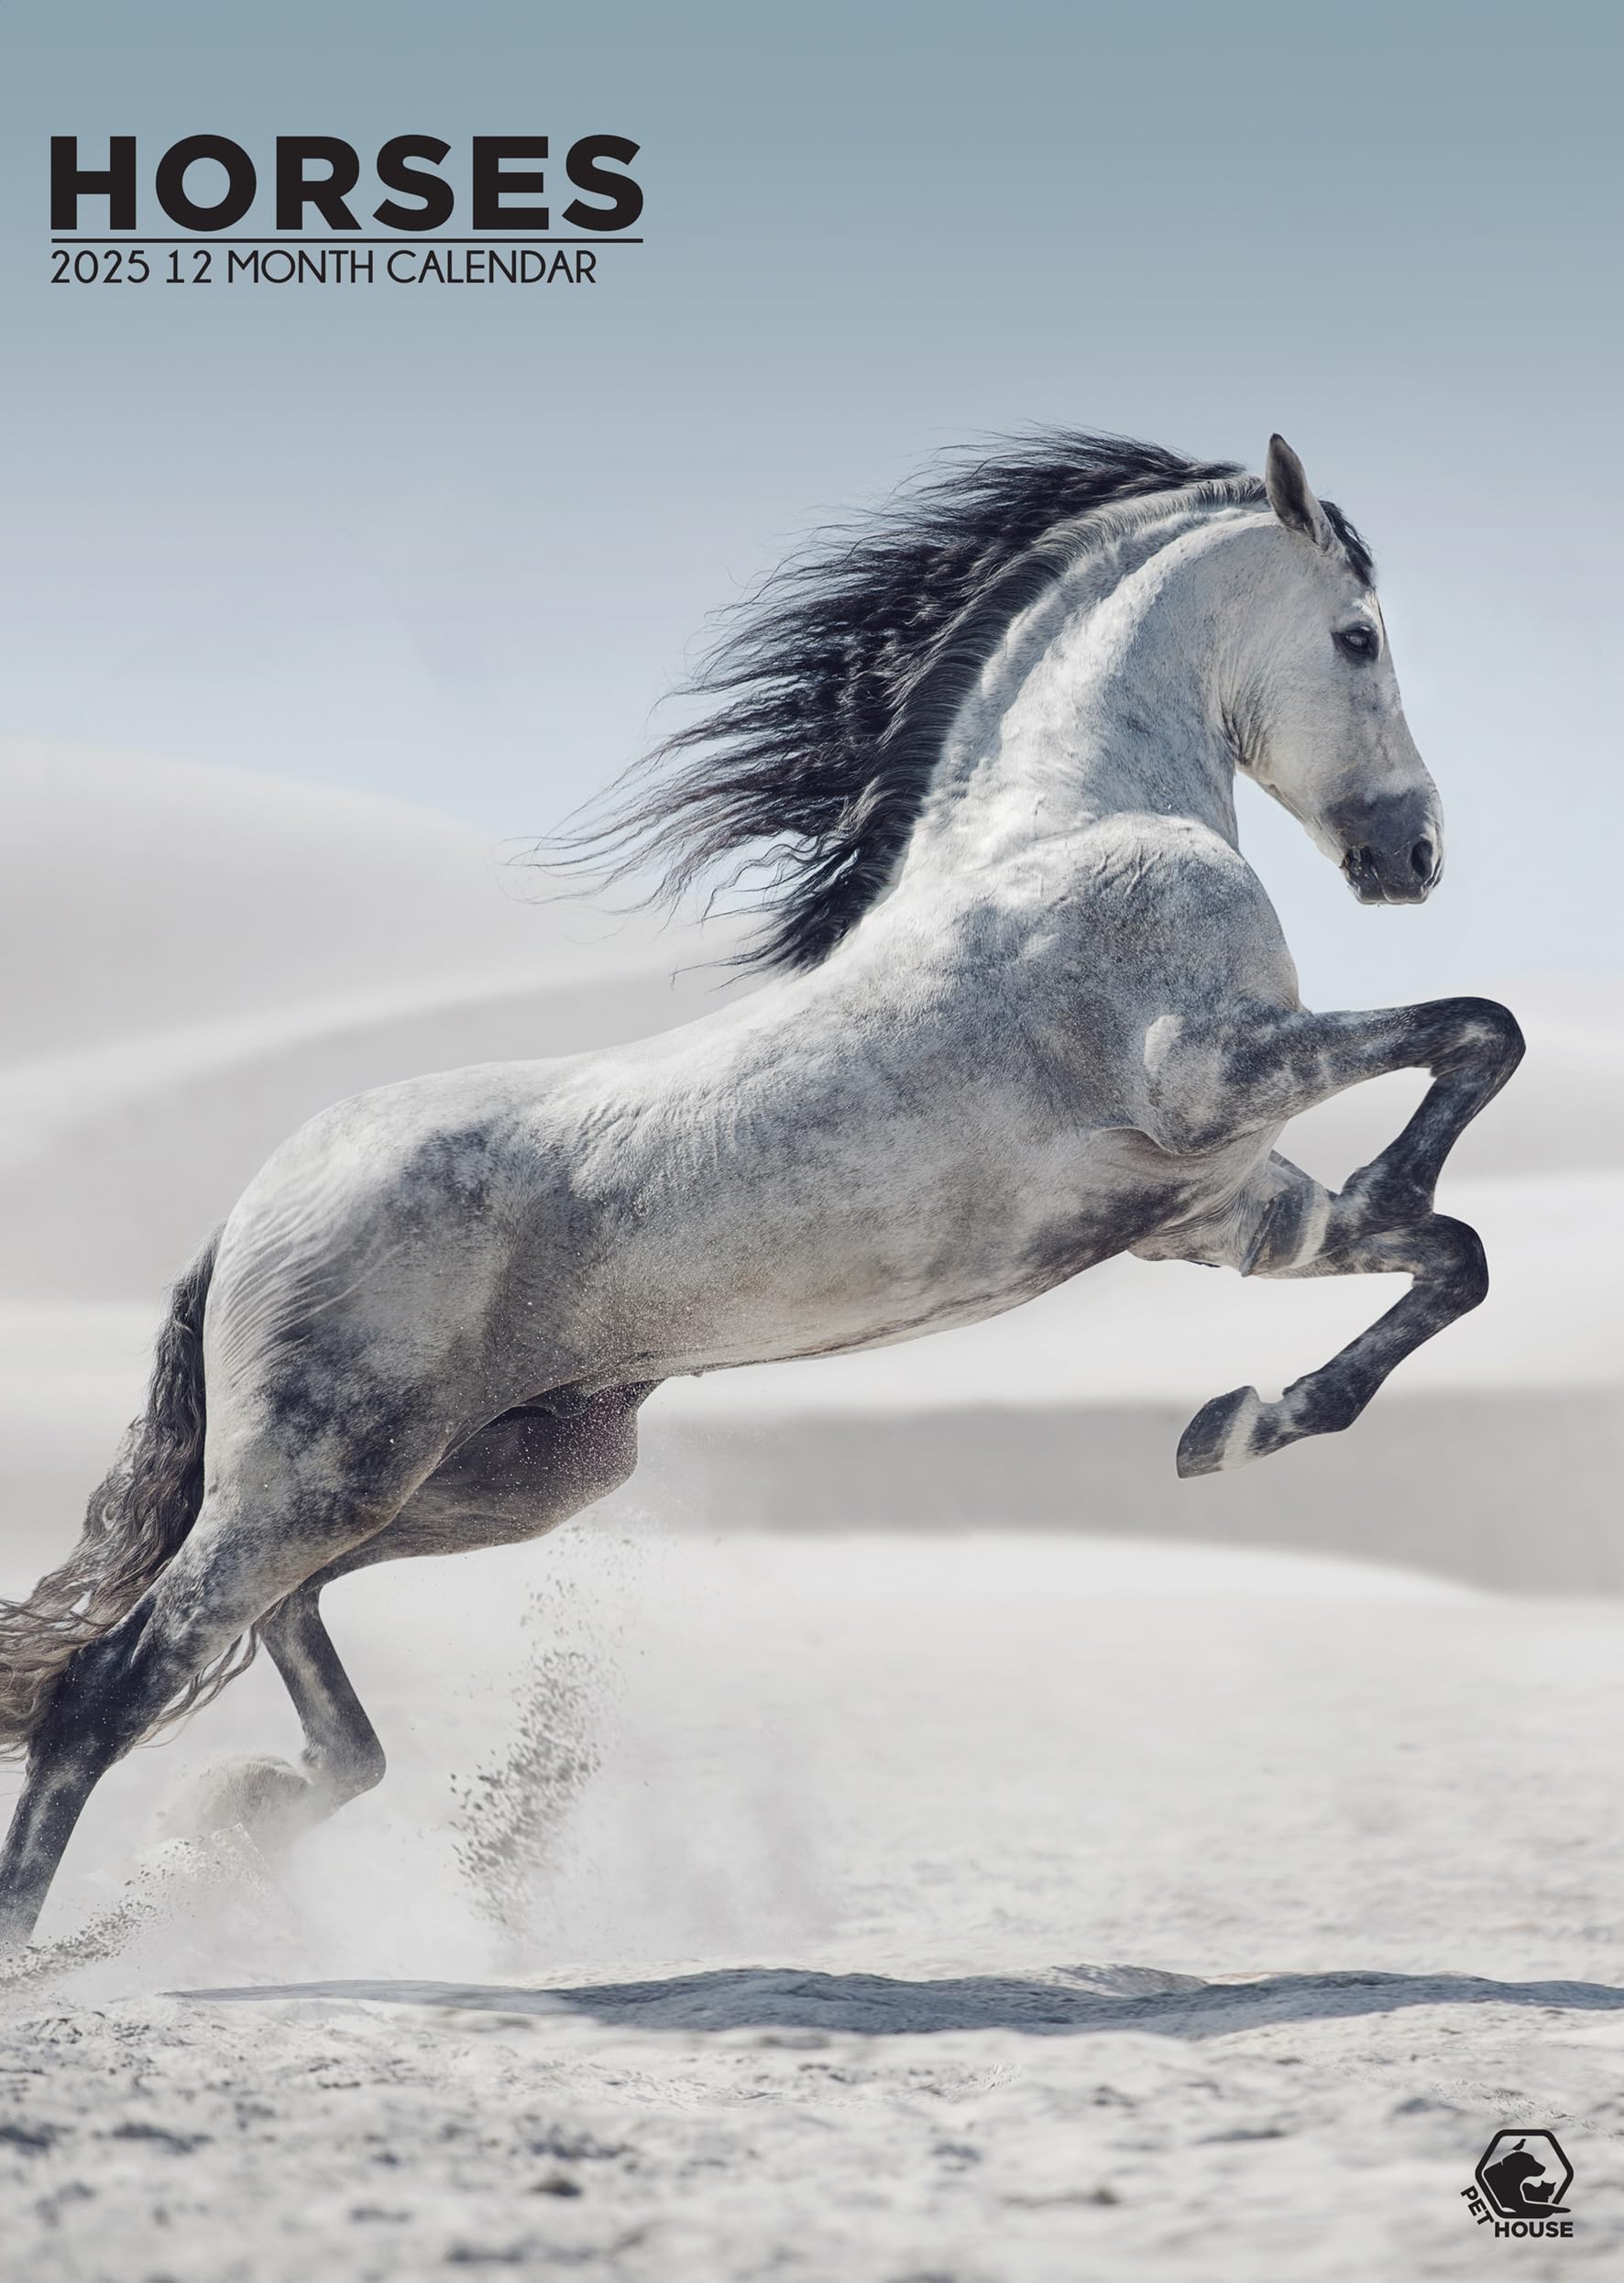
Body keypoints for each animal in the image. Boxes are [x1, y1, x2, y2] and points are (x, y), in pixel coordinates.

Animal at [0, 431, 1523, 1949]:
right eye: (1359, 634)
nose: (1415, 856)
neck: (1070, 828)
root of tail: (243, 1214)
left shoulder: (1222, 1208)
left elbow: (1453, 1250)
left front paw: (1239, 1422)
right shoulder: (1212, 1073)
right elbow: (1479, 1030)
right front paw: (1364, 1216)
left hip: (494, 1478)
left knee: (292, 1660)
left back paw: (221, 1835)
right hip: (324, 1470)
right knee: (110, 1684)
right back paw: (65, 1945)